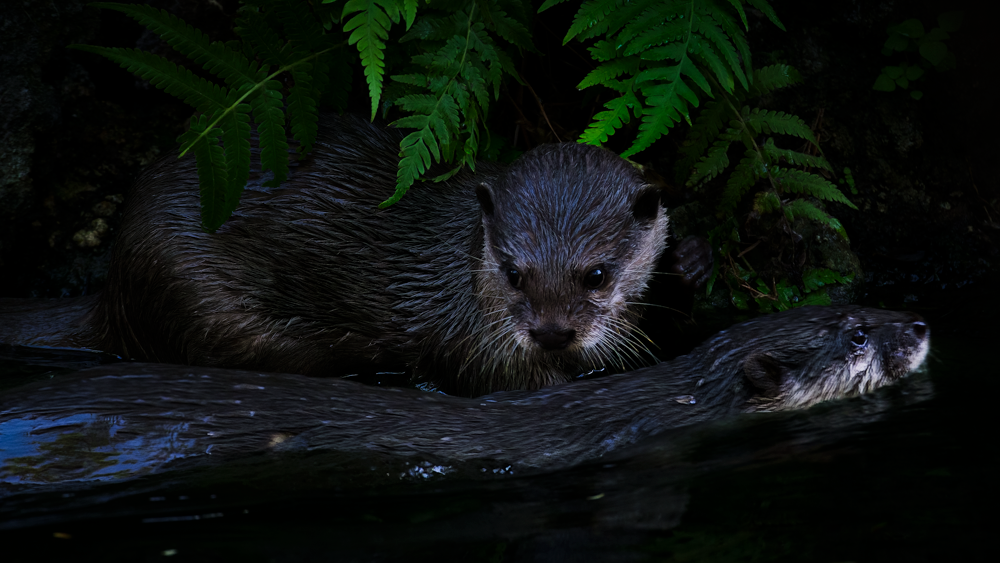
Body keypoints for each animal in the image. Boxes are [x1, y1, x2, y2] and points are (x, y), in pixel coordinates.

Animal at [0, 114, 668, 395]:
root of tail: (114, 281)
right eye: (512, 272)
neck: (461, 280)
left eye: (597, 273)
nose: (552, 333)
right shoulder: (473, 345)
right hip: (186, 289)